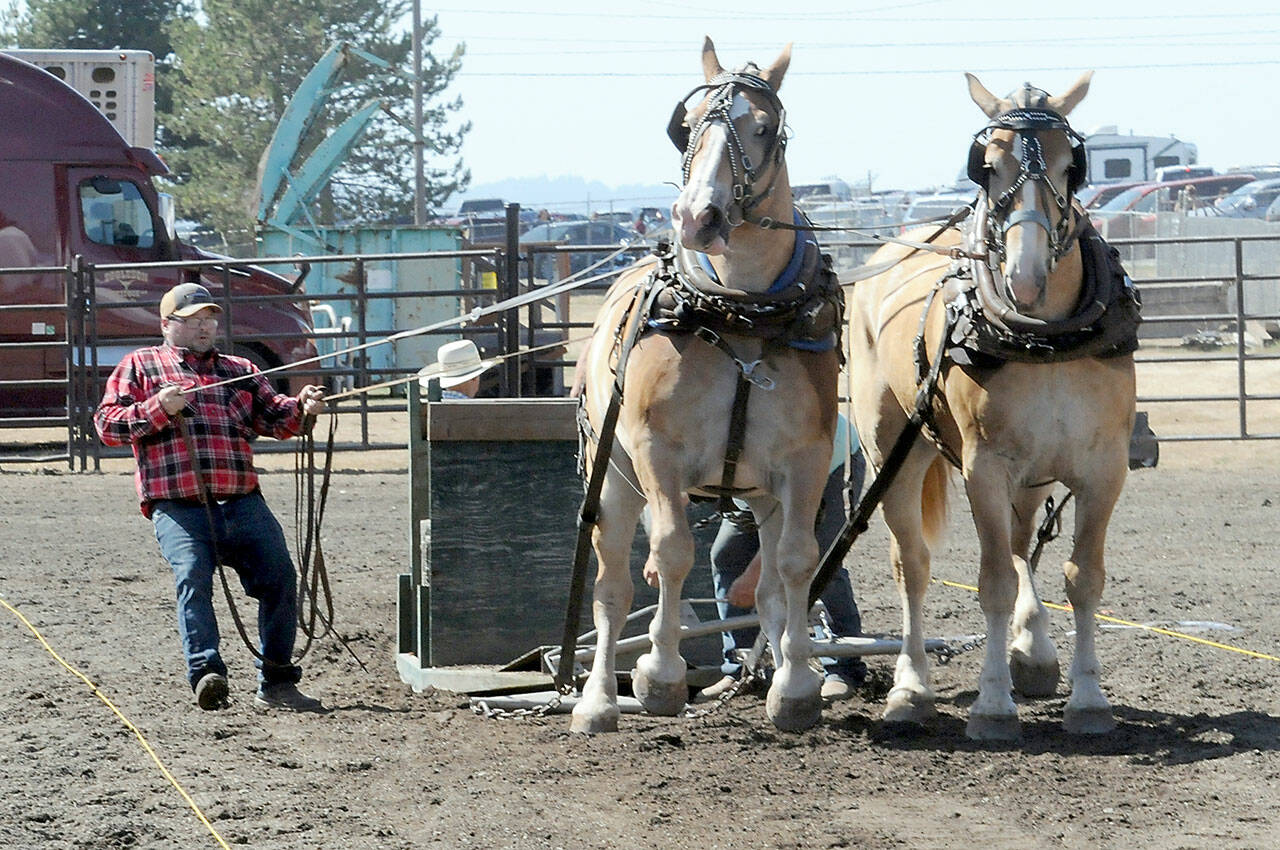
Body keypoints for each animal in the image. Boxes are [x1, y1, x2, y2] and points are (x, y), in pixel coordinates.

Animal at [568, 36, 839, 732]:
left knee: (767, 586)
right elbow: (671, 554)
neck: (738, 312)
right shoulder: (657, 452)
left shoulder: (805, 460)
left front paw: (796, 686)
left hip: (760, 496)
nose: (698, 216)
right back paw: (597, 701)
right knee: (612, 587)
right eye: (686, 126)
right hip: (612, 476)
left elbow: (796, 563)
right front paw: (658, 676)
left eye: (765, 128)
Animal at [849, 71, 1141, 737]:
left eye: (1070, 164)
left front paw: (1089, 699)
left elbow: (1083, 578)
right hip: (894, 454)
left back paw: (1032, 651)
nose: (1026, 277)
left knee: (1020, 539)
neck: (1046, 337)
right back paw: (911, 687)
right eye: (987, 165)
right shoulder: (983, 469)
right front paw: (992, 705)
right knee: (913, 564)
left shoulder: (1103, 469)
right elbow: (993, 583)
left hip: (1033, 471)